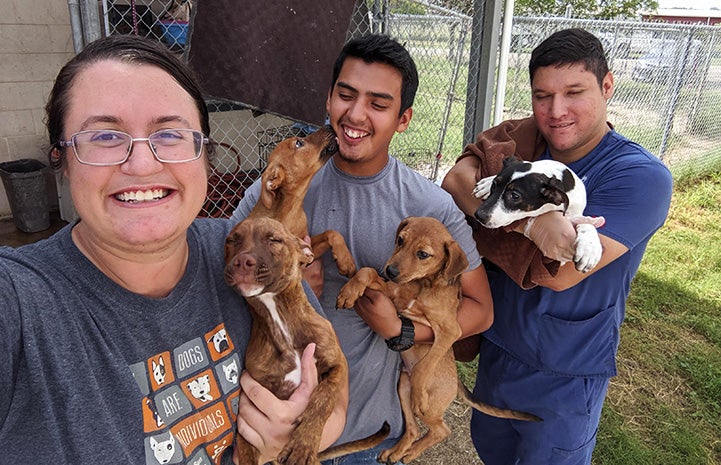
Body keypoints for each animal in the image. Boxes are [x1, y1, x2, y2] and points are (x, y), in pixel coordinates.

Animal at [224, 218, 386, 464]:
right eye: (232, 241)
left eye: (274, 240)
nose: (242, 261)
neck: (279, 320)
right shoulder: (251, 399)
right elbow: (246, 453)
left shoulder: (338, 364)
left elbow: (324, 398)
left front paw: (303, 445)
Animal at [249, 125, 356, 276]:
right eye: (299, 143)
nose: (329, 125)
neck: (292, 210)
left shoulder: (309, 244)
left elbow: (331, 232)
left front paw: (345, 260)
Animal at [334, 216, 536, 462]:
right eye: (400, 240)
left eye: (423, 254)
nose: (390, 270)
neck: (421, 285)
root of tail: (456, 383)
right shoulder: (391, 292)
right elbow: (367, 271)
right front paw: (349, 291)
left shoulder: (450, 331)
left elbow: (427, 363)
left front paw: (420, 390)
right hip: (402, 386)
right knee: (414, 429)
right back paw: (396, 452)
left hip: (429, 407)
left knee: (441, 429)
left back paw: (411, 451)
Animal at [472, 156, 600, 272]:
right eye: (494, 185)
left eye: (515, 196)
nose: (478, 215)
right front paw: (487, 183)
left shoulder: (576, 209)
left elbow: (586, 222)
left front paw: (590, 248)